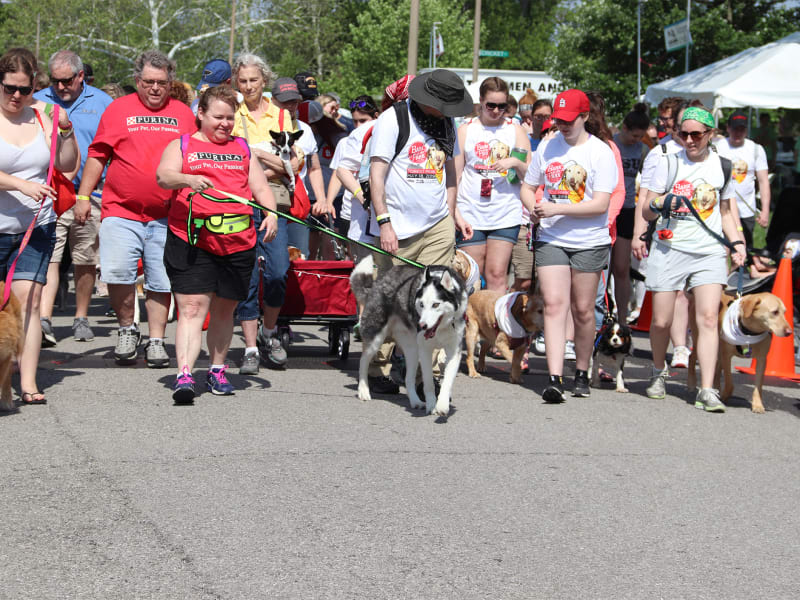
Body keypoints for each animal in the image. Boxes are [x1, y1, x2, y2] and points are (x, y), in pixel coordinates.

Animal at [350, 258, 468, 418]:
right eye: (421, 304)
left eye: (436, 304)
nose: (422, 325)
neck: (442, 327)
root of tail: (379, 282)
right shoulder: (425, 350)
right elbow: (428, 384)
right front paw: (432, 405)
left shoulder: (454, 351)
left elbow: (447, 382)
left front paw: (442, 405)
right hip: (376, 339)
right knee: (363, 362)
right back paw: (363, 390)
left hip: (412, 350)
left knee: (408, 379)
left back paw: (415, 401)